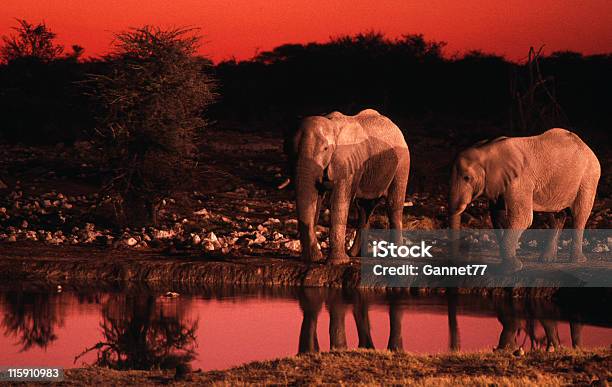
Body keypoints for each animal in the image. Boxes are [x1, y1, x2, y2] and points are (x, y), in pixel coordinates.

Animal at [288, 110, 412, 266]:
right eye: (290, 150)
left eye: (325, 149)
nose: (312, 258)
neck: (331, 124)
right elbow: (315, 200)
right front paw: (313, 259)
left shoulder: (347, 161)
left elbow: (338, 201)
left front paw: (337, 263)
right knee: (364, 209)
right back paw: (355, 254)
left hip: (403, 163)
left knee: (393, 205)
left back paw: (396, 256)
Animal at [448, 129, 600, 272]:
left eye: (467, 178)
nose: (455, 263)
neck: (487, 149)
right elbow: (498, 217)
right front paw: (507, 266)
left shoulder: (520, 180)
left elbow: (523, 218)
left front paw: (512, 269)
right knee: (556, 216)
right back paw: (547, 259)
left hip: (588, 177)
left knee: (580, 214)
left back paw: (577, 260)